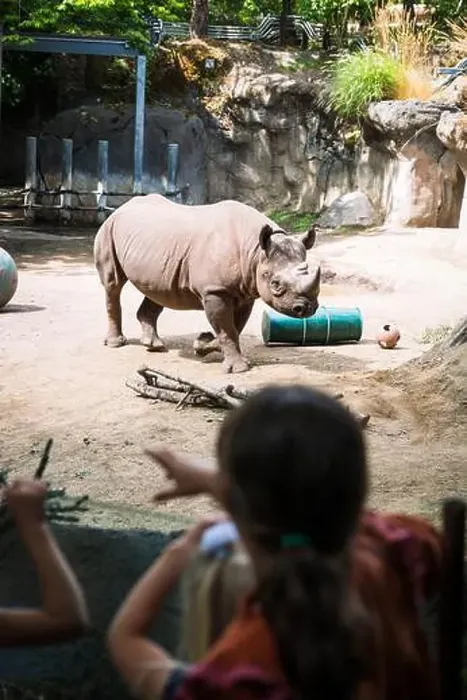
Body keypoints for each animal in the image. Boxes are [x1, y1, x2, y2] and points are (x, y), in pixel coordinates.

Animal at [94, 194, 321, 373]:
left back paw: (155, 346)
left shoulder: (245, 290)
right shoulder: (215, 291)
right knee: (113, 284)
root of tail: (121, 207)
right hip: (108, 230)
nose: (306, 308)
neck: (255, 252)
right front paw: (239, 369)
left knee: (159, 289)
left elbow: (234, 328)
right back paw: (116, 344)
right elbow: (227, 329)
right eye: (275, 284)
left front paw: (202, 344)